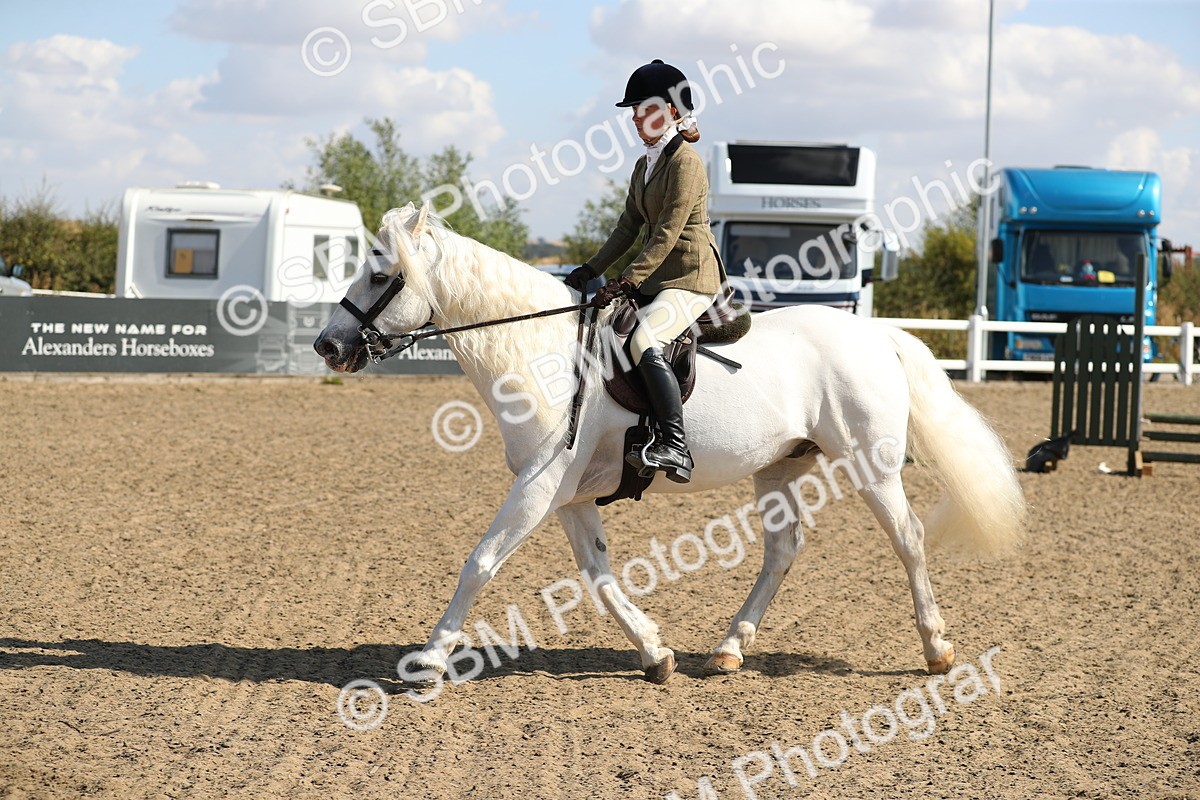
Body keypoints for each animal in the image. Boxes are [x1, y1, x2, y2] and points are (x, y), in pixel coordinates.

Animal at [314, 202, 1026, 684]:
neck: (540, 351)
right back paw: (729, 649)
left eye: (379, 275)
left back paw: (936, 649)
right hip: (777, 469)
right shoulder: (569, 496)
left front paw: (430, 659)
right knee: (783, 550)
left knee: (908, 537)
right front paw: (655, 653)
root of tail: (877, 334)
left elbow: (480, 562)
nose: (327, 345)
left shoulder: (539, 486)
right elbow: (598, 576)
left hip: (870, 465)